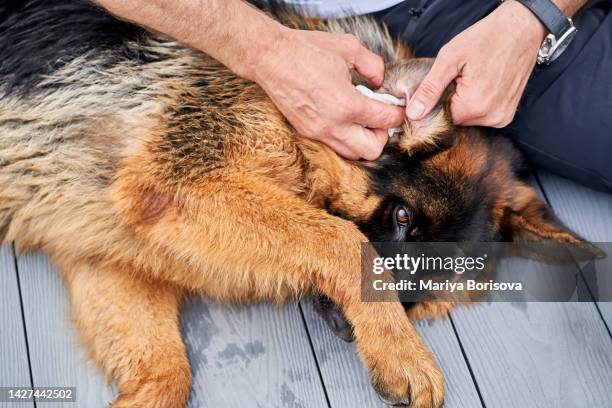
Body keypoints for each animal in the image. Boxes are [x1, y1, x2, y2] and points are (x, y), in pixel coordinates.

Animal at [0, 0, 592, 408]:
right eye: (402, 218)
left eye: (436, 280)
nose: (347, 330)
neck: (300, 142)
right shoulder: (179, 182)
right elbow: (340, 237)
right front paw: (402, 352)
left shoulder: (110, 260)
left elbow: (167, 375)